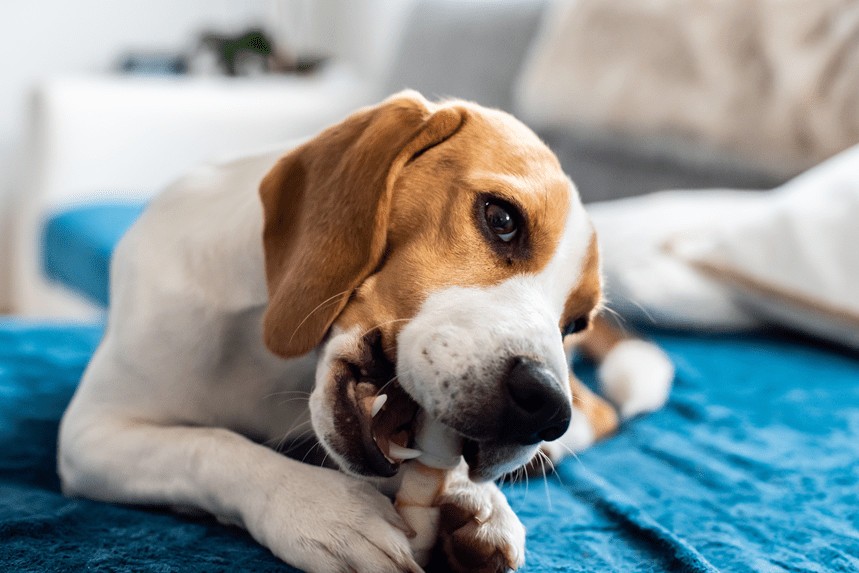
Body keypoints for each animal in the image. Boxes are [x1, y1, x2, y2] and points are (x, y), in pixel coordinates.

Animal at [60, 91, 676, 568]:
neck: (277, 363)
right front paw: (323, 509)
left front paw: (475, 499)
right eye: (501, 219)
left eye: (574, 323)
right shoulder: (92, 435)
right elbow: (210, 446)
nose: (545, 408)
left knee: (602, 412)